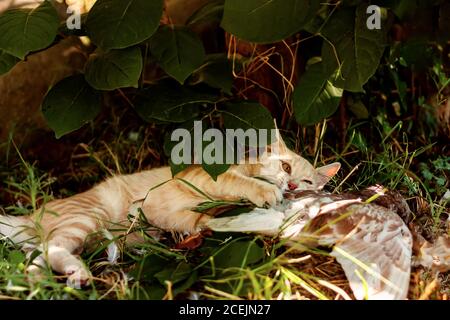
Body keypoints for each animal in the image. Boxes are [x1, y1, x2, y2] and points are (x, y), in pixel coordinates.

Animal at [0, 131, 338, 286]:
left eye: (307, 180)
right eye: (285, 166)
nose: (292, 185)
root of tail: (32, 214)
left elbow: (206, 220)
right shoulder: (203, 177)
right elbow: (237, 181)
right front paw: (265, 191)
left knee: (36, 257)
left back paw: (51, 277)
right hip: (87, 218)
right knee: (51, 248)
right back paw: (76, 272)